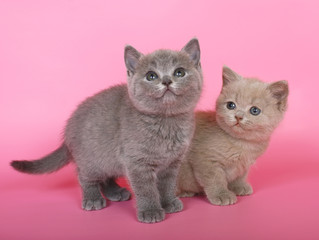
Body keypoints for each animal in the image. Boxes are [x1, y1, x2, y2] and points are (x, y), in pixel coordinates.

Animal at [11, 38, 205, 222]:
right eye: (151, 76)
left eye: (179, 72)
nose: (166, 81)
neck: (167, 121)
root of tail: (68, 129)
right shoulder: (136, 162)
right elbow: (146, 189)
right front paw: (151, 211)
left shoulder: (172, 163)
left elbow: (167, 185)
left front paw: (168, 202)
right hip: (92, 159)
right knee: (85, 176)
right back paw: (93, 198)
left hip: (110, 159)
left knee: (107, 177)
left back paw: (116, 192)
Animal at [178, 66, 290, 205]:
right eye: (230, 105)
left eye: (254, 110)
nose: (238, 116)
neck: (242, 144)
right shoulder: (205, 160)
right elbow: (215, 179)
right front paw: (222, 194)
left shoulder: (244, 165)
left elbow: (239, 176)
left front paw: (239, 186)